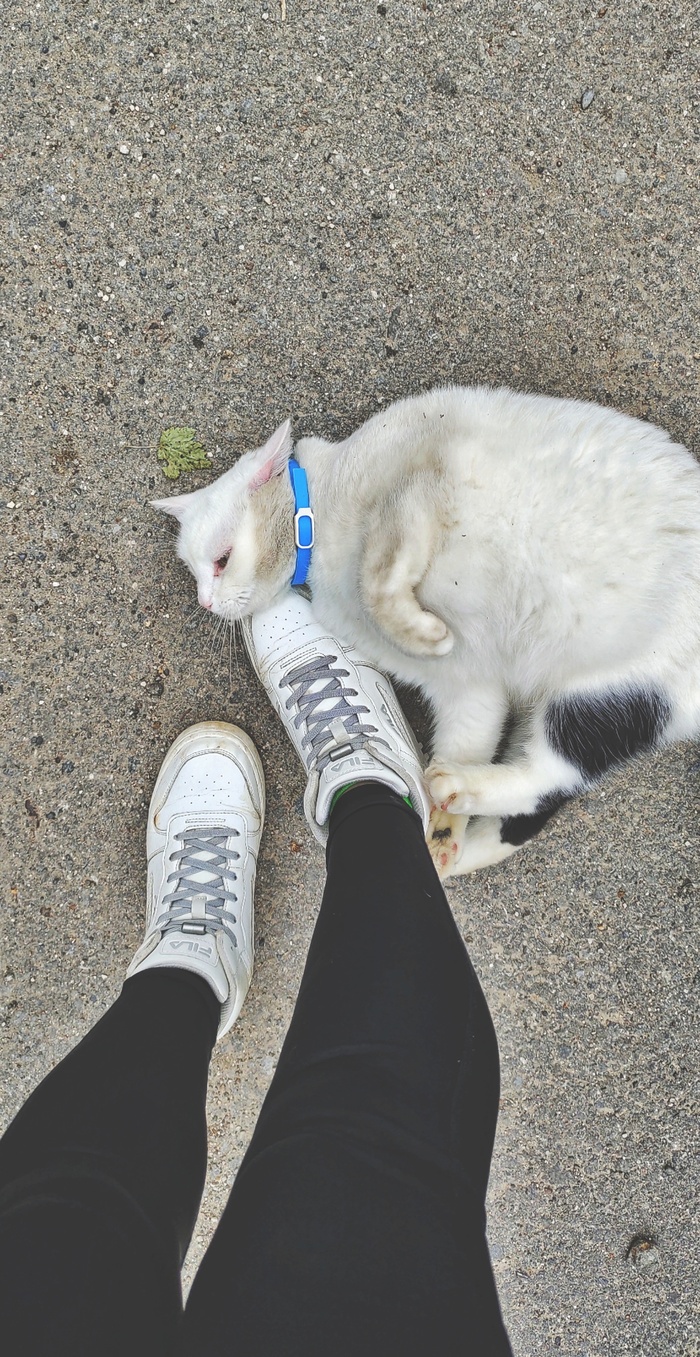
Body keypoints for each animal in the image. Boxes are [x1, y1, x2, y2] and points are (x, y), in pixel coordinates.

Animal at [153, 384, 700, 878]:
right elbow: (470, 728)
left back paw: (454, 787)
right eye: (194, 571)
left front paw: (423, 633)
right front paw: (442, 830)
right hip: (608, 703)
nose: (205, 600)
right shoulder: (469, 686)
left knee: (552, 773)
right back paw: (455, 825)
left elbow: (377, 578)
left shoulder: (417, 492)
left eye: (221, 561)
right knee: (544, 794)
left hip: (608, 697)